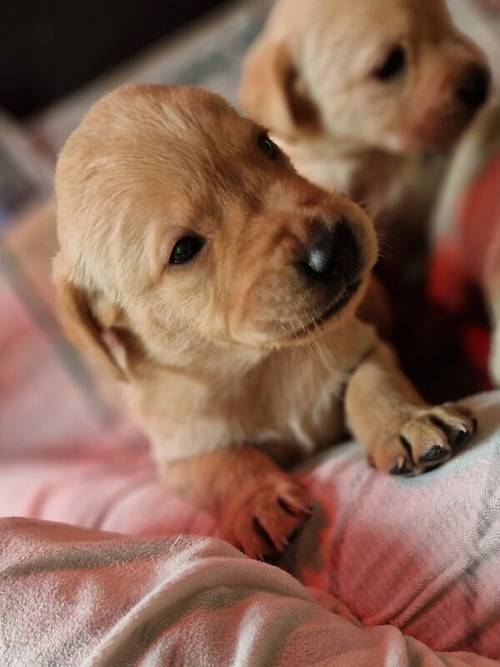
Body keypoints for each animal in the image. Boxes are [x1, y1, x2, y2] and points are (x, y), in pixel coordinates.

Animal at [53, 87, 476, 560]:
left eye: (268, 145)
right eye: (183, 250)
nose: (333, 247)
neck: (261, 362)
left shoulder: (363, 342)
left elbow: (373, 382)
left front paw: (405, 423)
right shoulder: (180, 452)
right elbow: (224, 463)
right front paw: (256, 502)